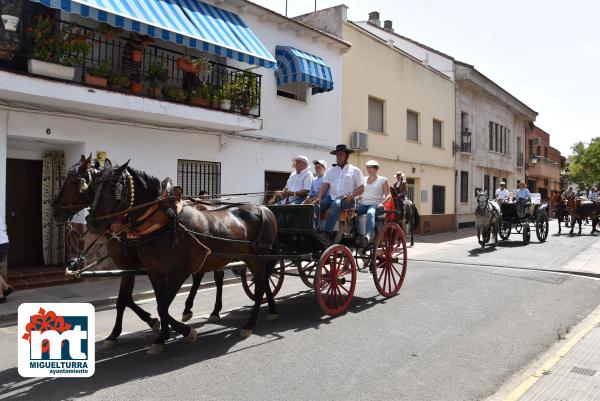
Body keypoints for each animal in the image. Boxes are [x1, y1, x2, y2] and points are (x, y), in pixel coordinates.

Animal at [53, 155, 223, 348]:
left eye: (74, 182)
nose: (56, 213)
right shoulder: (134, 268)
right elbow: (130, 298)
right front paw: (153, 323)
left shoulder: (133, 266)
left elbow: (124, 299)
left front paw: (121, 331)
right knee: (200, 276)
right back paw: (189, 309)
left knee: (217, 277)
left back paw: (214, 311)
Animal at [85, 159, 278, 354]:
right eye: (93, 186)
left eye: (113, 189)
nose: (92, 222)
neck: (162, 222)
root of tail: (264, 209)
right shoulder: (153, 272)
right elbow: (157, 303)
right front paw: (161, 337)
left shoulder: (177, 272)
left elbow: (161, 306)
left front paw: (186, 332)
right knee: (258, 281)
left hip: (257, 258)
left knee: (260, 285)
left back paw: (249, 324)